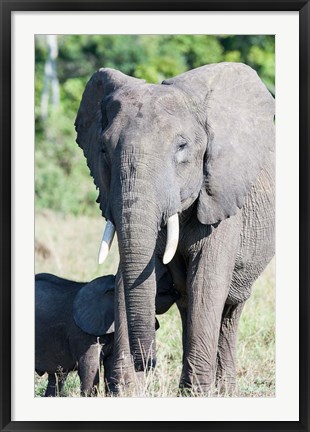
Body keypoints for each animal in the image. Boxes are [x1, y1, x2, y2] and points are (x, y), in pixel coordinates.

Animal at [75, 62, 274, 394]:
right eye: (103, 150)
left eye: (182, 147)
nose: (148, 362)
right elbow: (127, 278)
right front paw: (126, 392)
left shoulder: (222, 199)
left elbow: (206, 282)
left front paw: (196, 394)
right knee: (188, 304)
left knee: (229, 309)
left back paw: (222, 391)